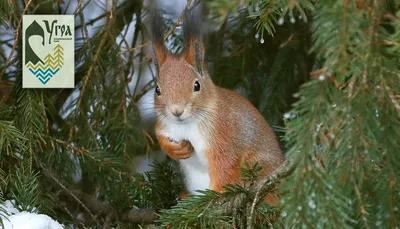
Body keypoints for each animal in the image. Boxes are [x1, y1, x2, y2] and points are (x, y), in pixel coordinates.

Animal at [150, 2, 284, 197]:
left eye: (196, 85)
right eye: (157, 89)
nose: (176, 111)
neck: (187, 124)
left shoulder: (223, 136)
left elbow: (224, 167)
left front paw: (215, 196)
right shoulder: (165, 124)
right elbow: (160, 135)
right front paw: (176, 149)